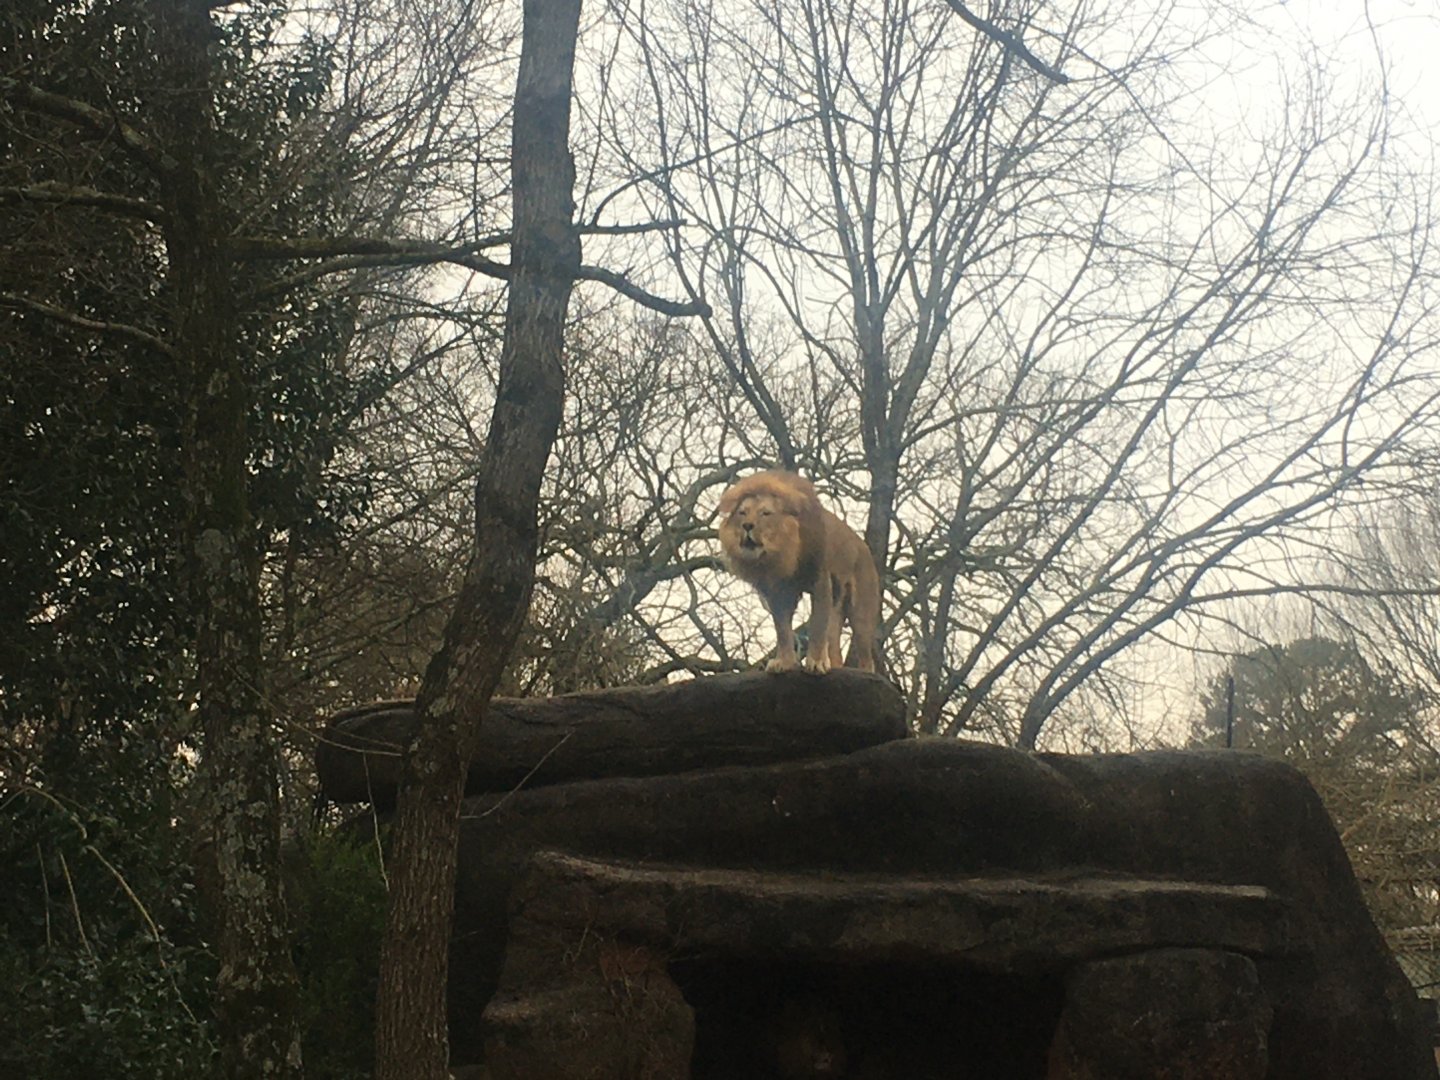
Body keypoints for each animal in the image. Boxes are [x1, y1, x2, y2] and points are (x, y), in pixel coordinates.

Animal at [717, 470, 879, 674]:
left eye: (765, 513)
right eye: (742, 513)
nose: (747, 525)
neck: (785, 549)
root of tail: (865, 549)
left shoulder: (820, 581)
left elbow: (817, 625)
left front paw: (816, 663)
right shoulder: (778, 592)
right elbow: (782, 630)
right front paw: (784, 662)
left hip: (861, 613)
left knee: (866, 658)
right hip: (837, 606)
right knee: (835, 647)